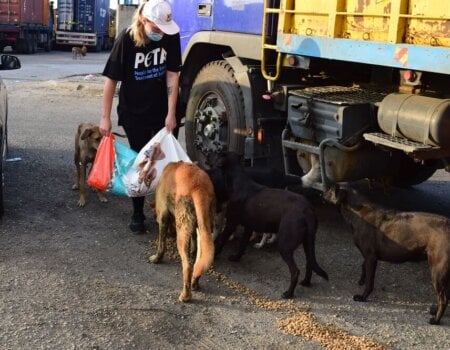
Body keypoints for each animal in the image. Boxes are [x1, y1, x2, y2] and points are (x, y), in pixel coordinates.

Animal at [150, 161, 215, 300]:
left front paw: (156, 259)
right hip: (204, 229)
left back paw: (186, 295)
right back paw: (194, 283)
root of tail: (198, 187)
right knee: (198, 262)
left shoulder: (163, 216)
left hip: (182, 234)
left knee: (187, 266)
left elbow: (161, 245)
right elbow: (194, 248)